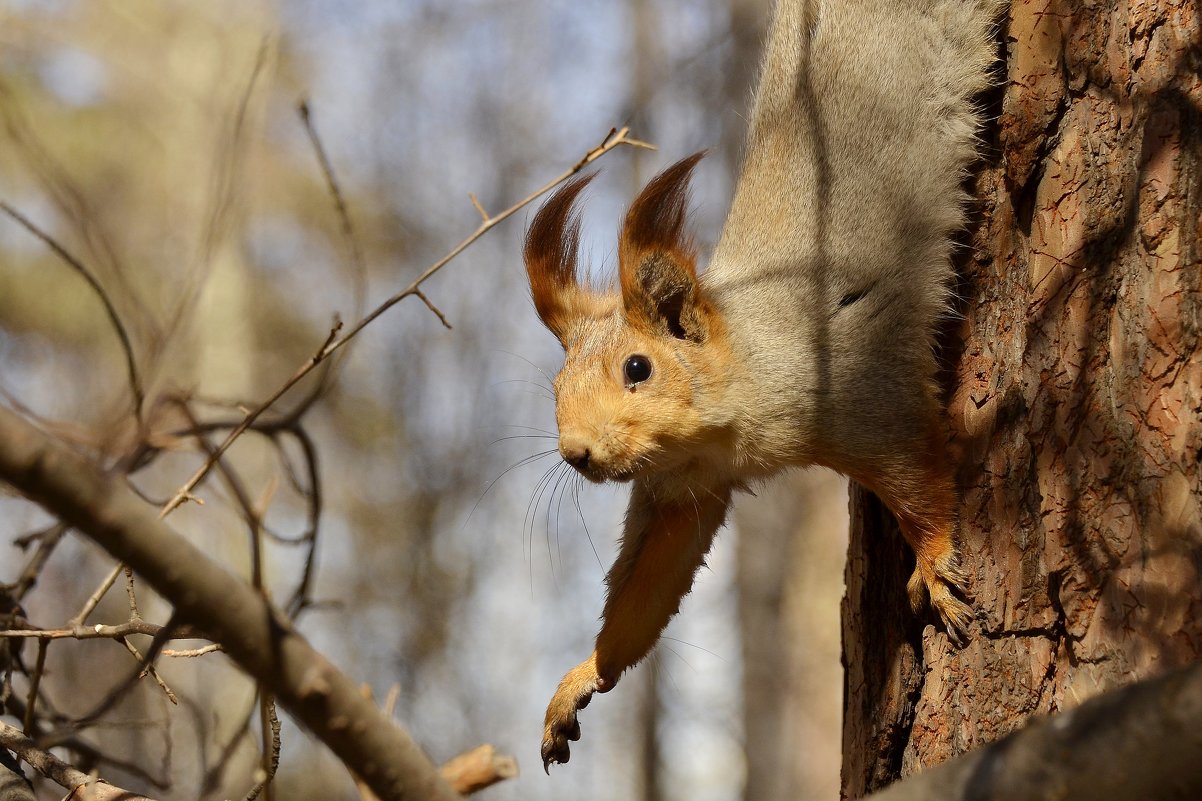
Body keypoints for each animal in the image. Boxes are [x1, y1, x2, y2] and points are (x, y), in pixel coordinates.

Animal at [521, 0, 1000, 769]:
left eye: (637, 368)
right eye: (556, 383)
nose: (576, 454)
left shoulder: (863, 394)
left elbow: (920, 477)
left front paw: (933, 564)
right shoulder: (682, 492)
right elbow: (646, 592)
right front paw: (580, 679)